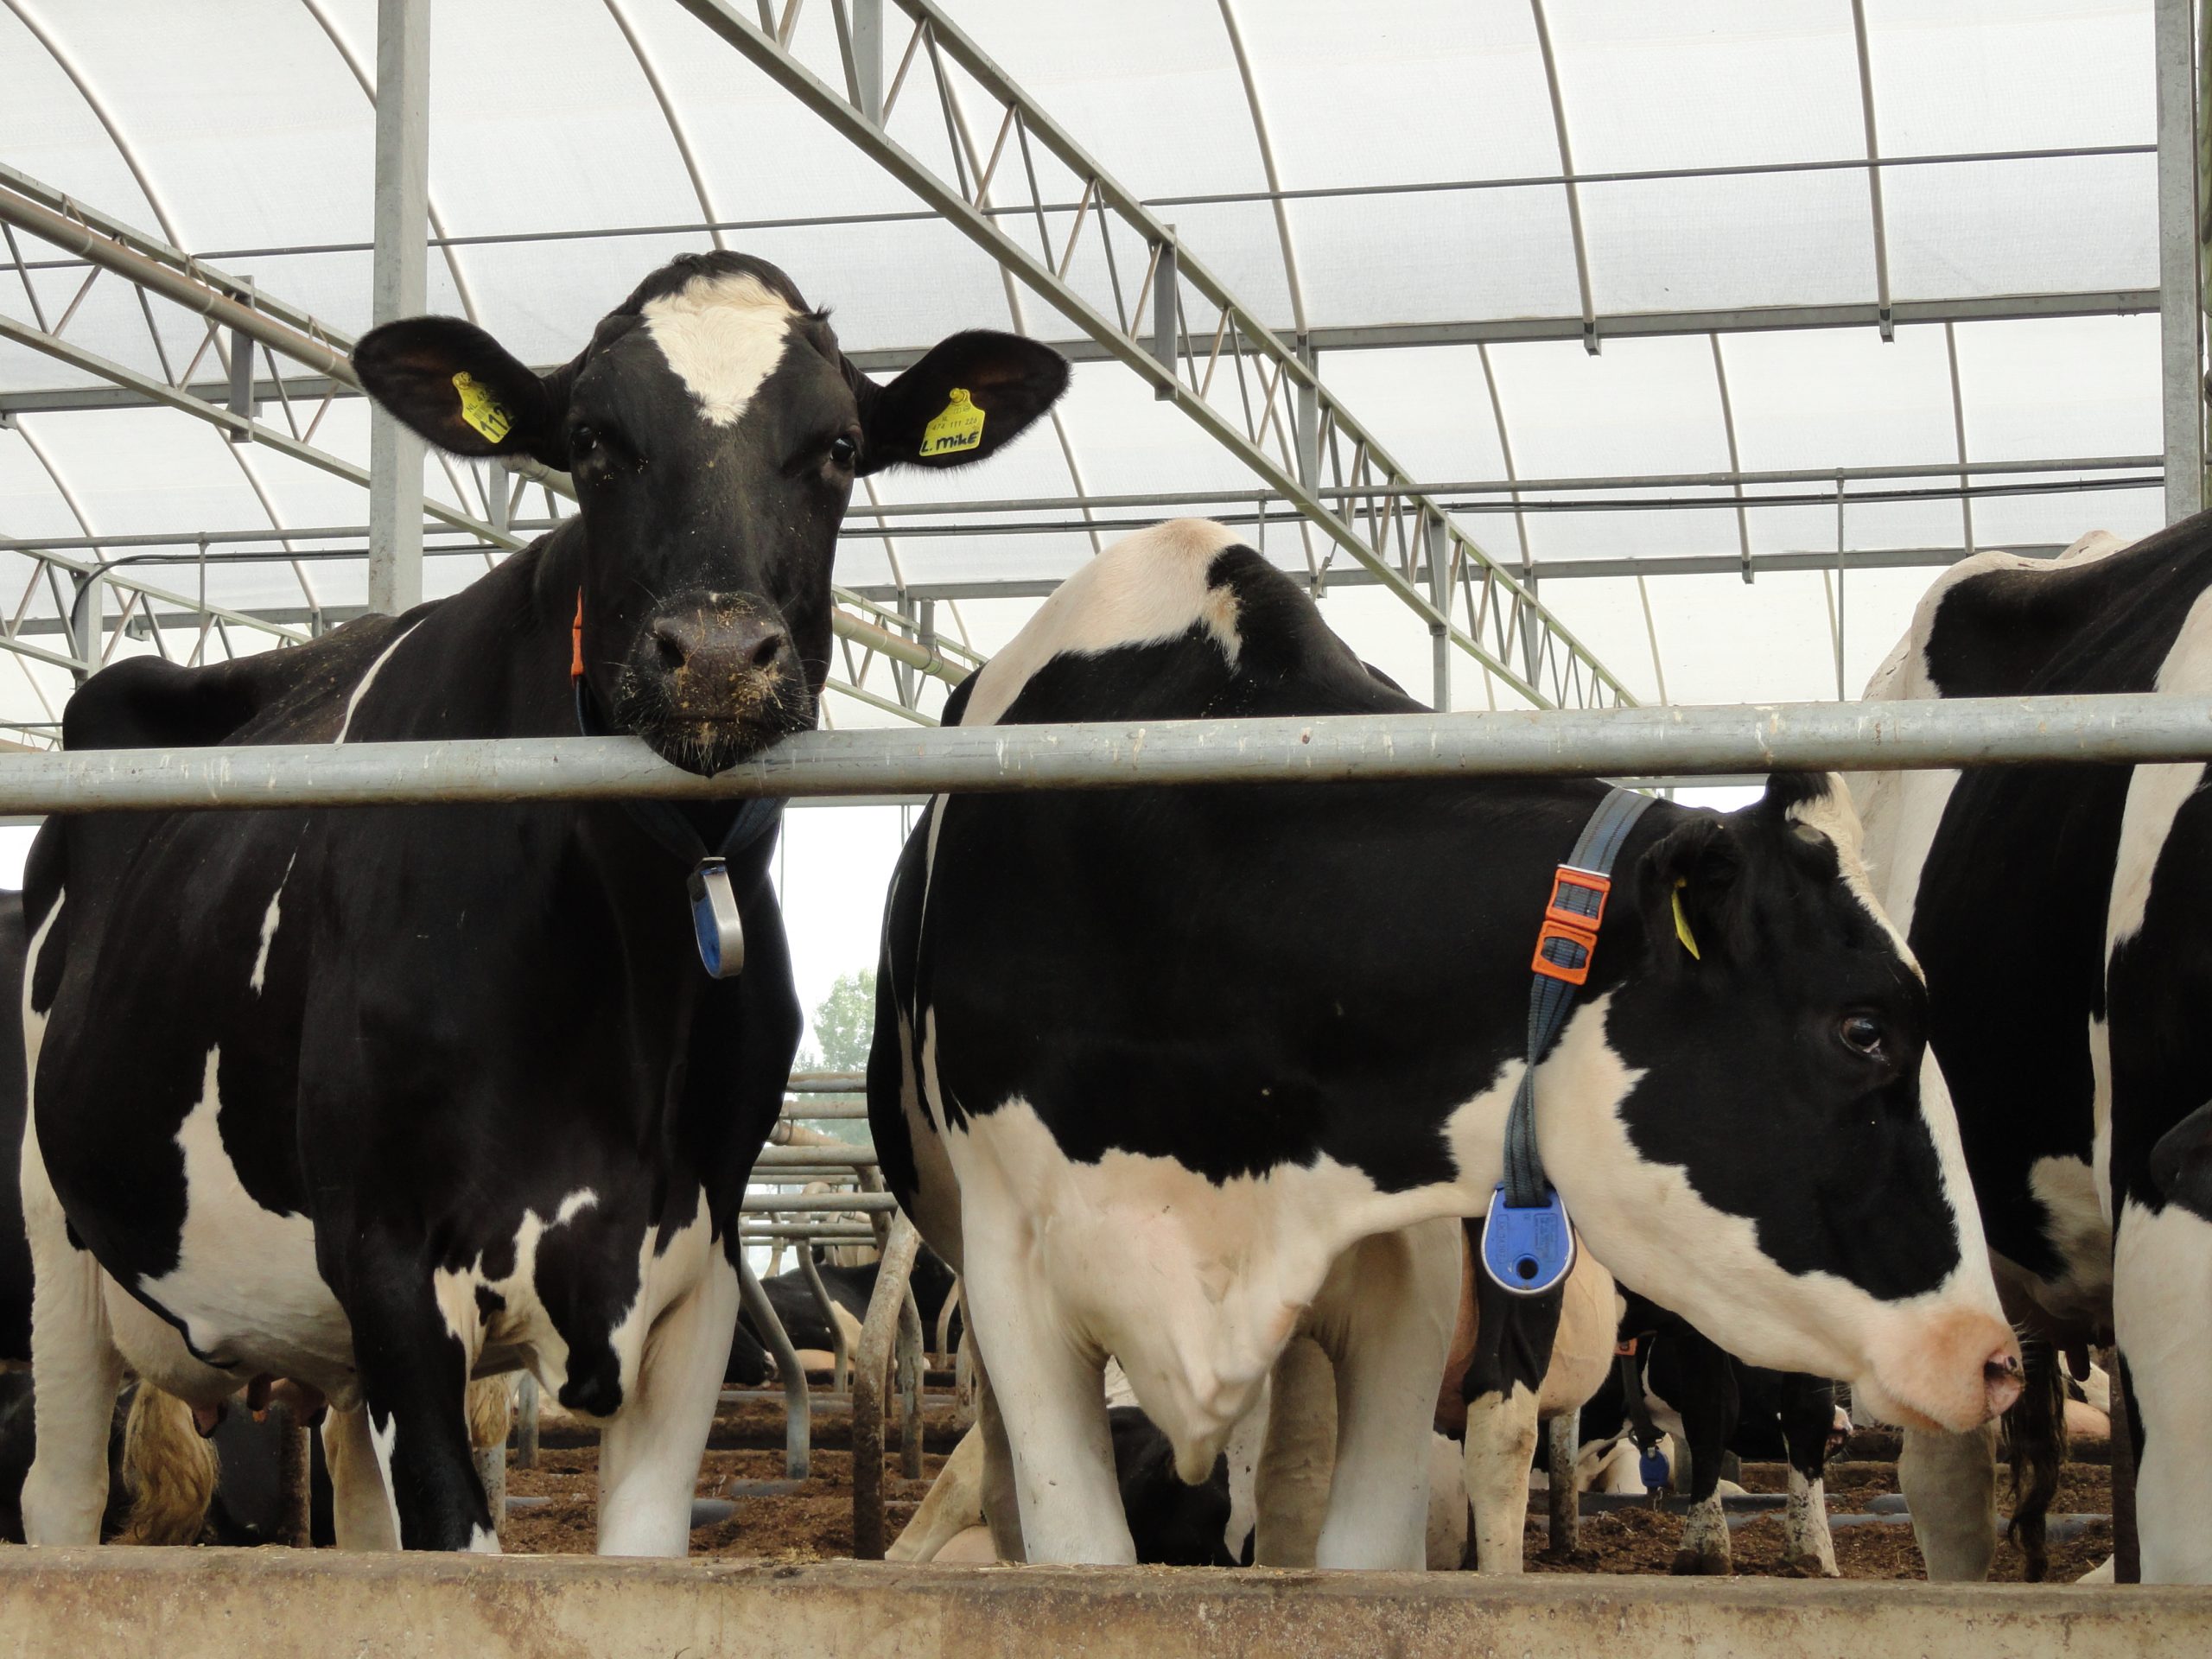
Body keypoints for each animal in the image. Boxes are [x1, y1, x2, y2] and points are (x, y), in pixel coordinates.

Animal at [16, 250, 1066, 1554]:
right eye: (591, 443)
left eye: (836, 447)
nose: (716, 656)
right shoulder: (388, 1262)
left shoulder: (691, 1272)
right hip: (54, 1238)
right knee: (60, 1495)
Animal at [866, 517, 2021, 1567]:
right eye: (1864, 1028)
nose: (1993, 1359)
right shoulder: (1013, 1272)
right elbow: (1079, 1554)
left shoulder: (1400, 1270)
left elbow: (1365, 1550)